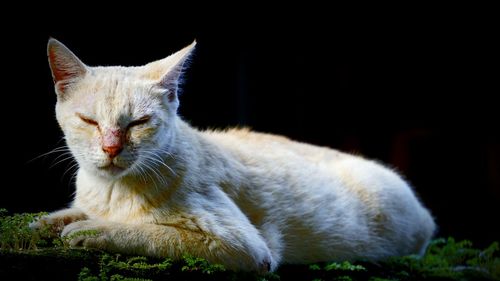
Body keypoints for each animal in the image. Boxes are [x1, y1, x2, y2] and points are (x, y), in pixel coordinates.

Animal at [33, 37, 436, 272]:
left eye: (138, 122)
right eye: (89, 121)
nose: (111, 148)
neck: (111, 189)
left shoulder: (244, 247)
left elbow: (143, 231)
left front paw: (87, 229)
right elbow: (63, 214)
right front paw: (46, 223)